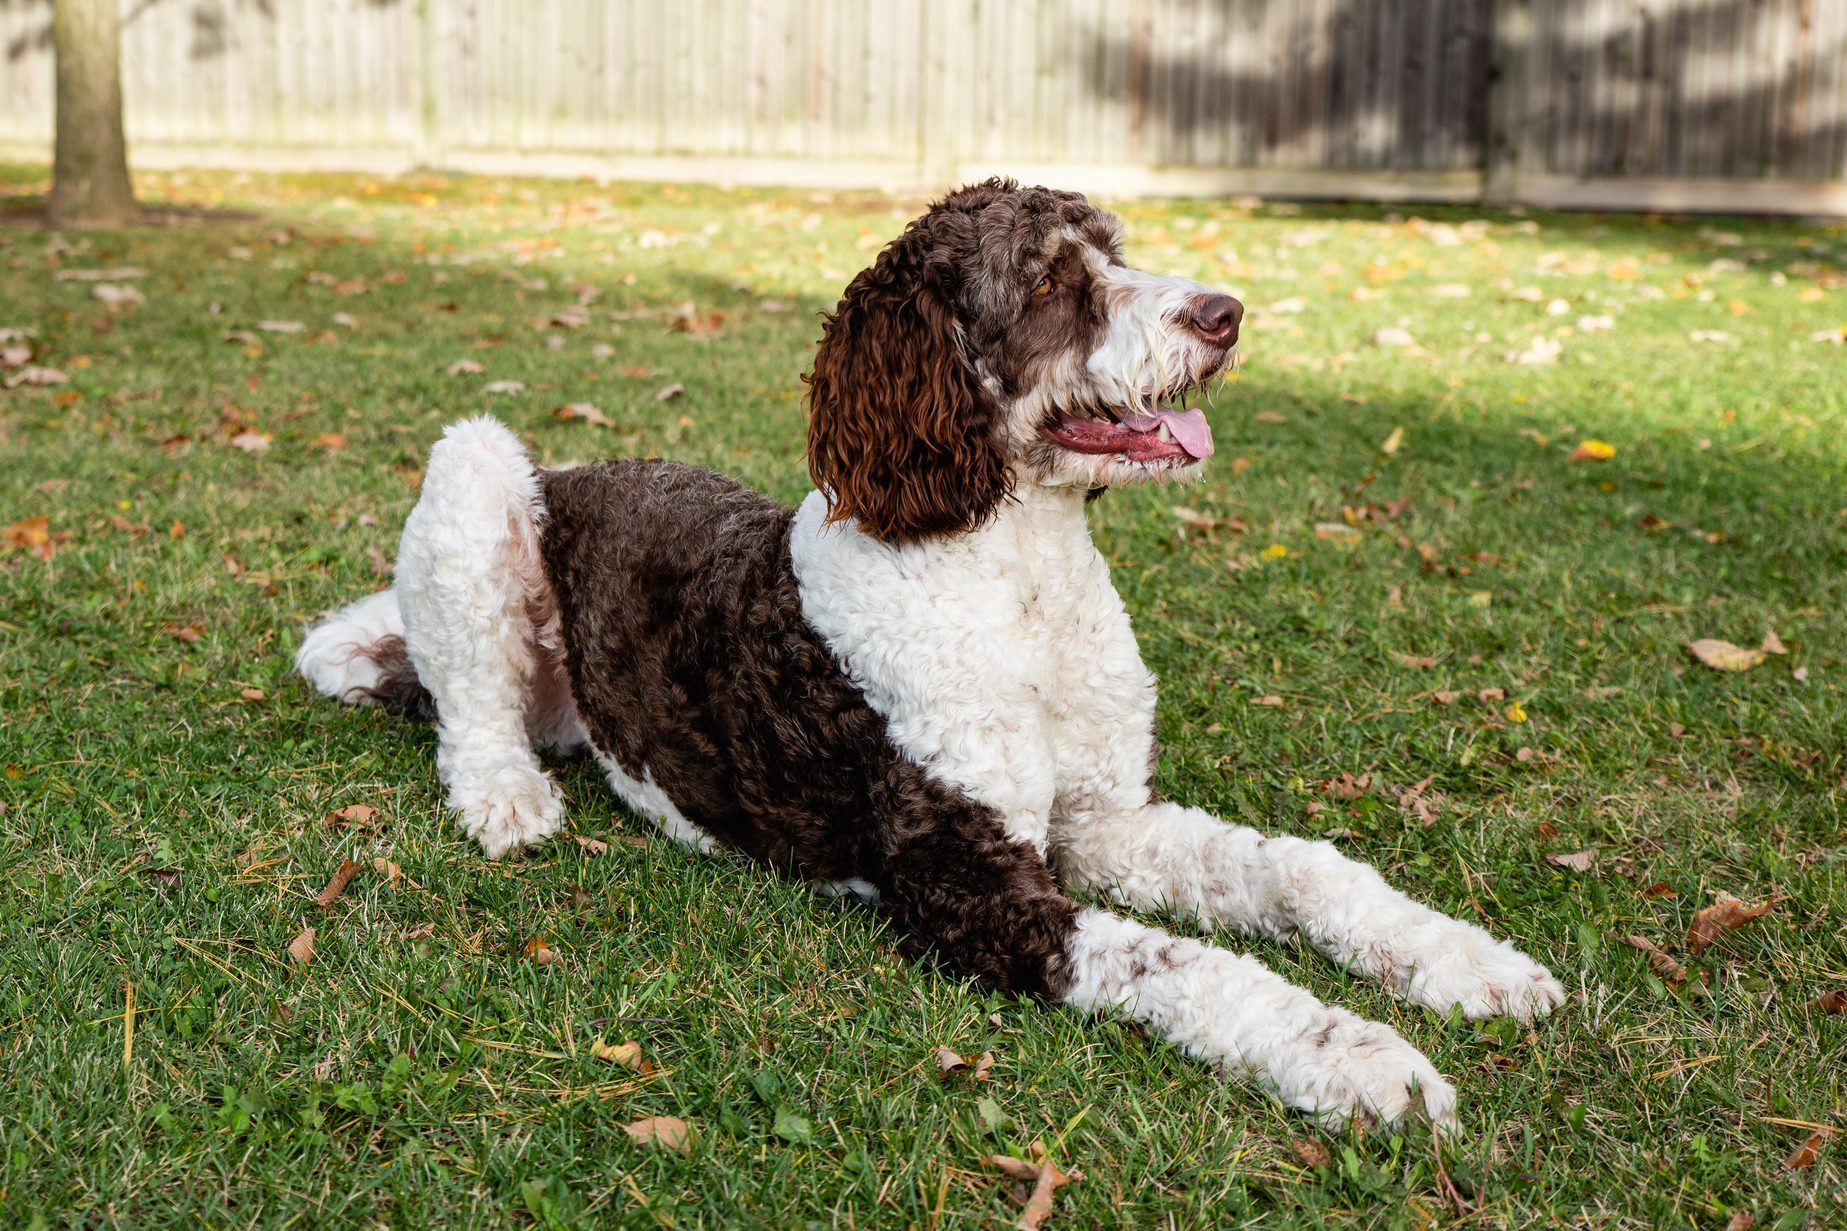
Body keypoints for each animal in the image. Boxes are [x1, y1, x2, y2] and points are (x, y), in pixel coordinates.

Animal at [299, 177, 1558, 1123]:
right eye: (1047, 282)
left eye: (1115, 250)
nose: (1226, 311)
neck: (1020, 580)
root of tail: (573, 471)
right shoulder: (972, 888)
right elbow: (1183, 964)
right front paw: (1358, 1055)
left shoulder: (1104, 822)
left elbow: (1298, 868)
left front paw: (1466, 962)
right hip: (474, 469)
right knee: (470, 706)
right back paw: (505, 797)